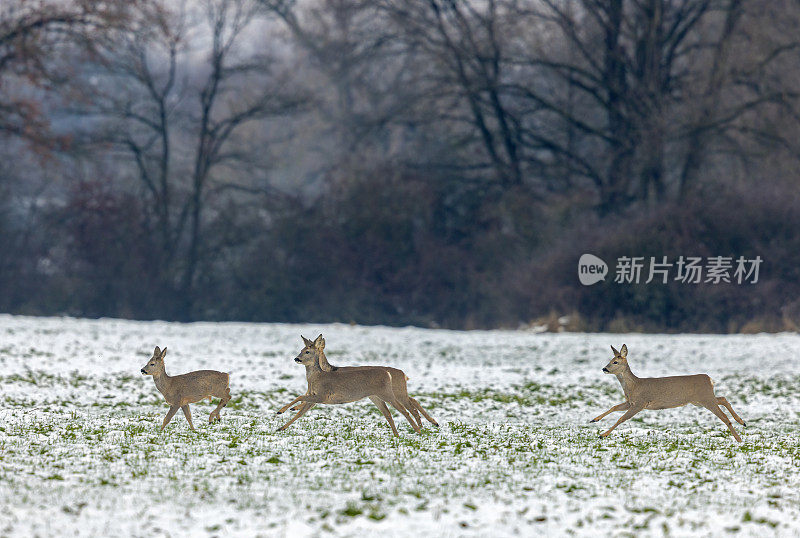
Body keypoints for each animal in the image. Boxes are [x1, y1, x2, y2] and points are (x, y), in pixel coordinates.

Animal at [276, 332, 438, 434]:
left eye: (307, 352)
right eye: (301, 349)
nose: (296, 358)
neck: (318, 376)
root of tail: (398, 374)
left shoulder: (323, 395)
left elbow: (299, 398)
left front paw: (280, 411)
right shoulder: (314, 397)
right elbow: (300, 411)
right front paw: (281, 427)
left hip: (388, 393)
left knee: (405, 409)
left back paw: (419, 430)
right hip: (377, 397)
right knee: (394, 411)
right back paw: (402, 433)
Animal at [592, 344, 748, 440]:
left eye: (615, 362)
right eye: (610, 359)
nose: (604, 369)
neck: (634, 386)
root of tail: (709, 379)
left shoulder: (640, 403)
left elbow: (621, 418)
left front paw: (603, 435)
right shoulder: (630, 402)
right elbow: (614, 407)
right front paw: (594, 419)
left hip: (706, 399)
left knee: (724, 416)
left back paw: (739, 439)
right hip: (700, 400)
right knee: (723, 399)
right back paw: (742, 422)